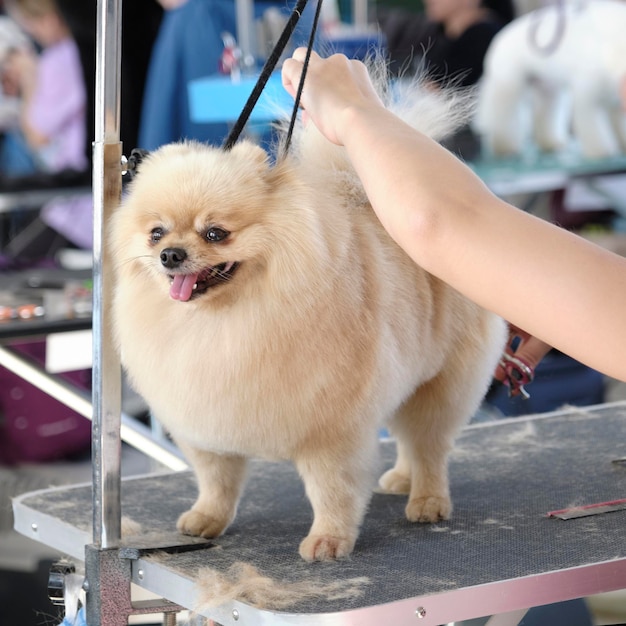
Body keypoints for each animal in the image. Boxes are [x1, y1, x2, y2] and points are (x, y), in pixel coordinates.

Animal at [109, 64, 504, 560]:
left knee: (429, 443)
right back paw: (401, 478)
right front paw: (205, 519)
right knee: (408, 436)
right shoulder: (205, 420)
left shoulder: (331, 430)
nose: (170, 255)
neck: (225, 319)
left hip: (442, 380)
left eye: (216, 233)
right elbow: (216, 478)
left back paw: (427, 499)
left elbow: (331, 490)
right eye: (156, 233)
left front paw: (328, 540)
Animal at [472, 0, 624, 158]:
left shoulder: (614, 99)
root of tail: (500, 36)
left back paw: (551, 143)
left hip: (548, 88)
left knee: (546, 115)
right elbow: (594, 128)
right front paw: (602, 152)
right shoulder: (589, 94)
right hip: (508, 86)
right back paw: (504, 148)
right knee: (503, 119)